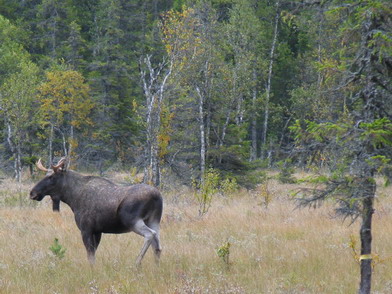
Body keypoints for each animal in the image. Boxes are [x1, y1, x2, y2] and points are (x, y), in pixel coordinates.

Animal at [29, 158, 163, 266]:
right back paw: (156, 266)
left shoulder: (86, 229)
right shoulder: (98, 231)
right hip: (154, 220)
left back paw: (137, 262)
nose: (32, 193)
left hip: (132, 221)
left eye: (51, 177)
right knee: (157, 245)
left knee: (150, 235)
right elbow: (93, 253)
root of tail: (157, 196)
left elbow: (90, 255)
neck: (72, 198)